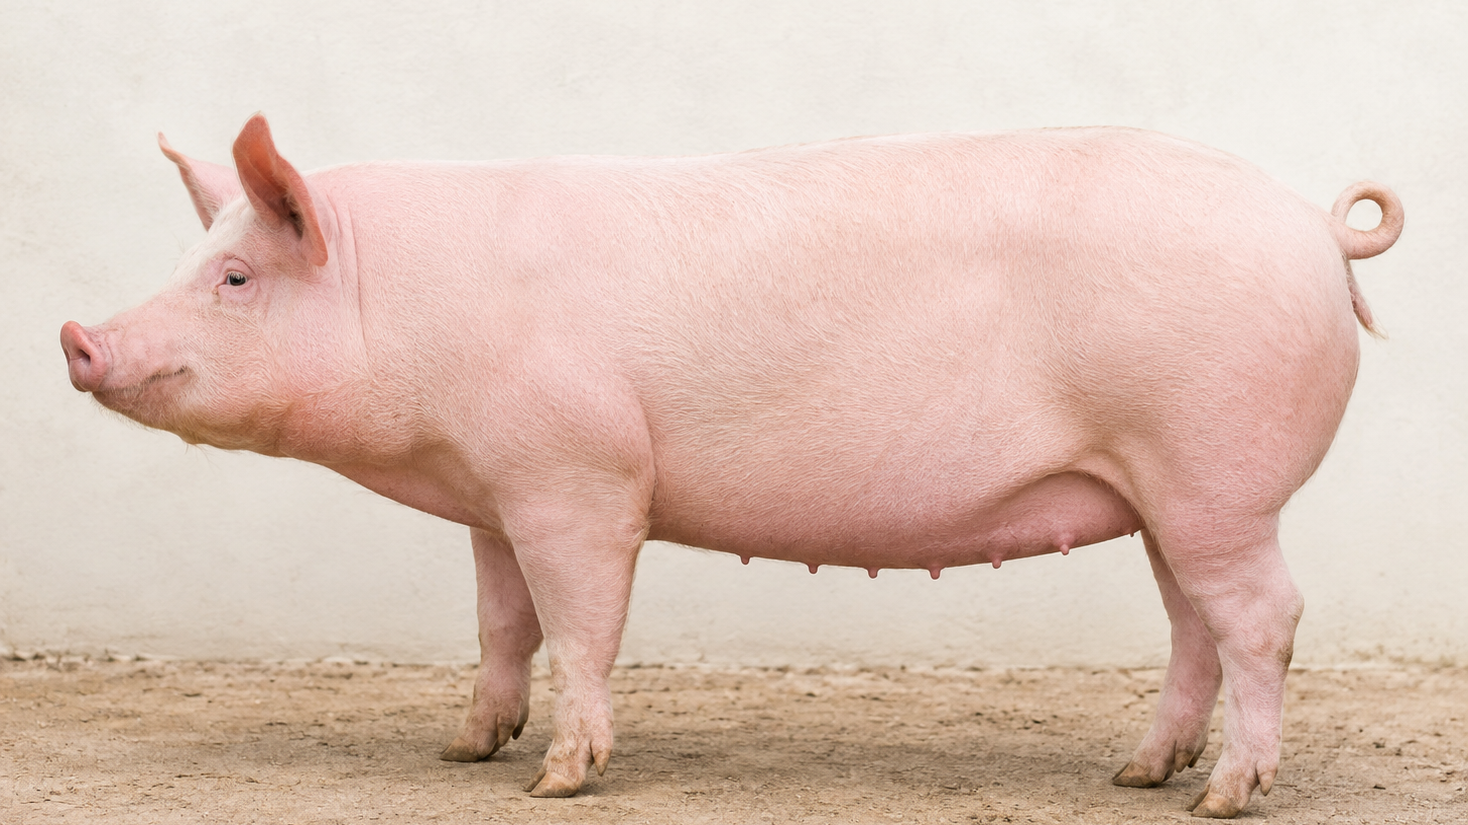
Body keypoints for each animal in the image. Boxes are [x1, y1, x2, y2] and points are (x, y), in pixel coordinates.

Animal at [61, 114, 1402, 817]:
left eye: (235, 278)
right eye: (201, 261)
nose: (77, 336)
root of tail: (1312, 228)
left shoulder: (579, 477)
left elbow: (581, 626)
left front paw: (556, 781)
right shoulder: (494, 495)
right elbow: (502, 625)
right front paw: (465, 751)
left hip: (1215, 472)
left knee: (1263, 617)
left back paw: (1224, 795)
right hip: (1166, 492)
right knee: (1193, 626)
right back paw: (1137, 772)